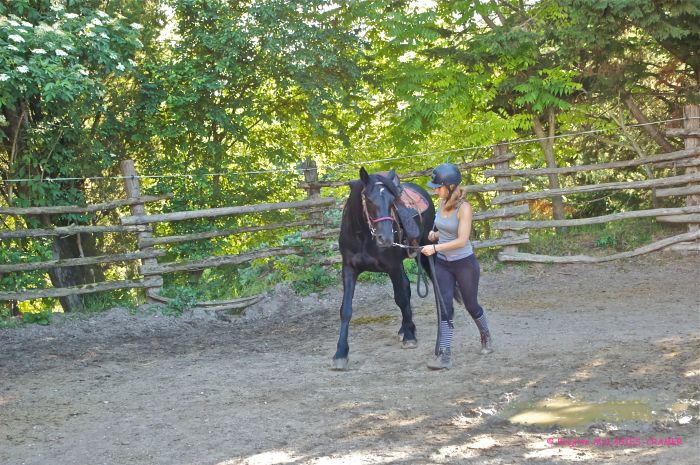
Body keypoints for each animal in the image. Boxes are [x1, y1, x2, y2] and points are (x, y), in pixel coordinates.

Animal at [330, 167, 434, 370]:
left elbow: (400, 298)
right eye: (369, 199)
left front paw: (409, 337)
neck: (363, 236)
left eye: (393, 200)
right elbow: (345, 310)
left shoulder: (392, 267)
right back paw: (406, 327)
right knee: (407, 287)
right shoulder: (349, 270)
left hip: (426, 251)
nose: (385, 238)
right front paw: (340, 353)